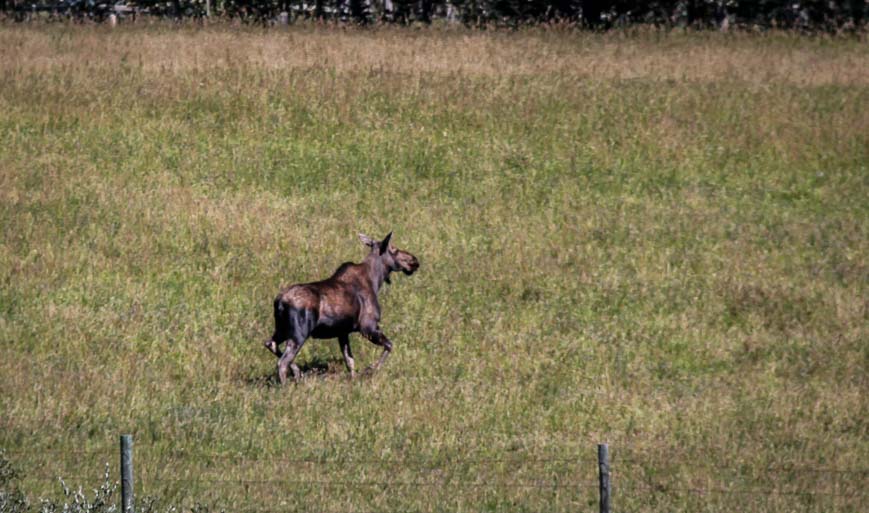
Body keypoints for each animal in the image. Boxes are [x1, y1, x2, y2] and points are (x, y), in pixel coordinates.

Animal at [262, 230, 418, 382]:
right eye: (394, 249)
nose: (414, 261)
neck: (376, 280)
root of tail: (279, 302)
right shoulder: (368, 326)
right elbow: (389, 345)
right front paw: (370, 370)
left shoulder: (343, 332)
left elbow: (350, 361)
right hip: (299, 333)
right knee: (283, 362)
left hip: (282, 329)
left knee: (270, 343)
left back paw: (297, 372)